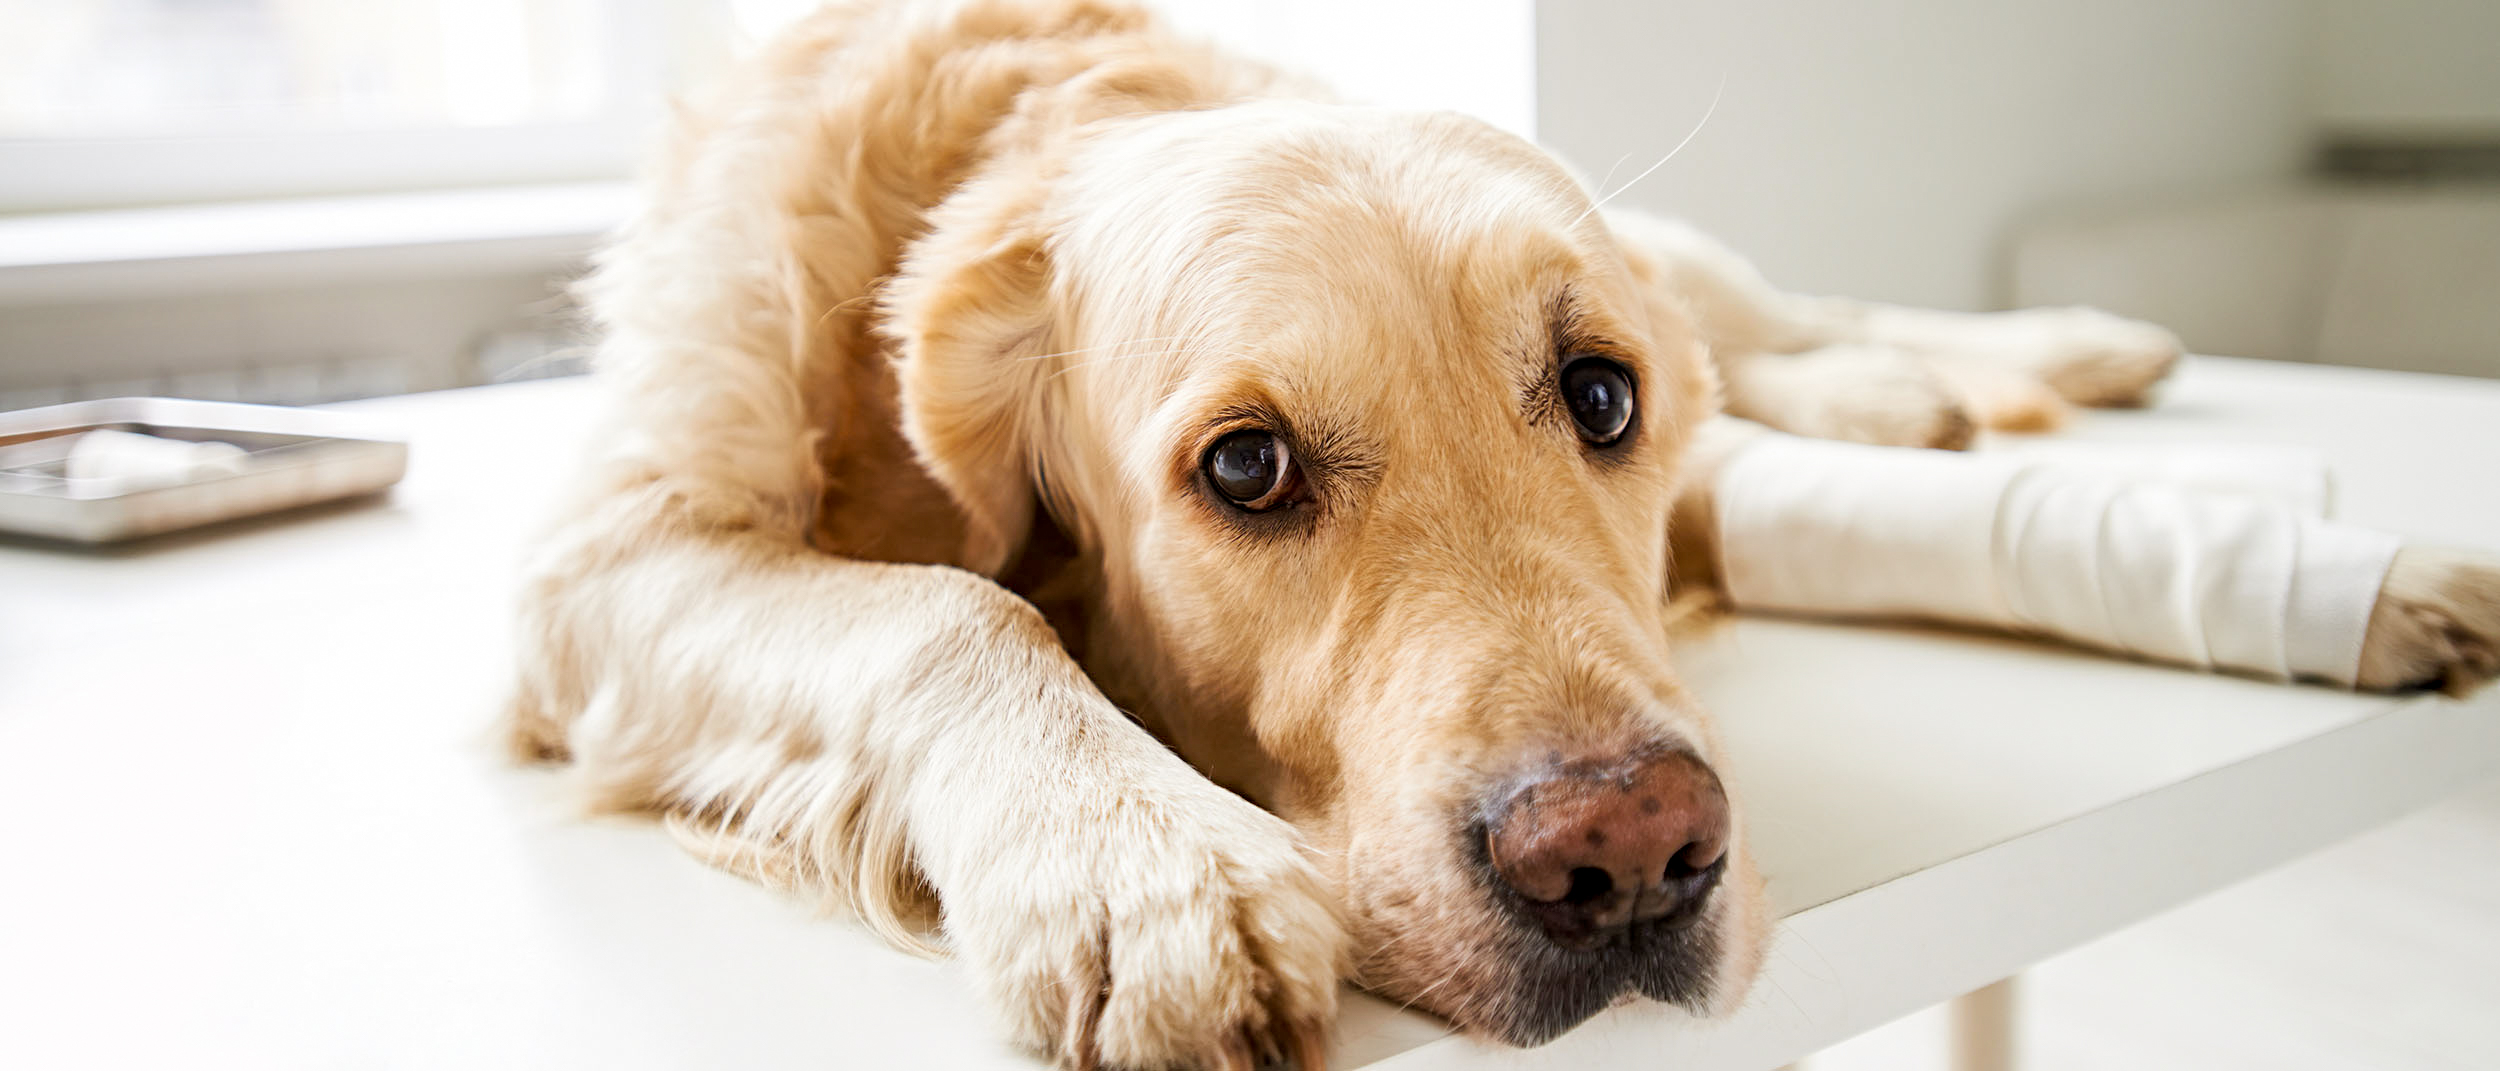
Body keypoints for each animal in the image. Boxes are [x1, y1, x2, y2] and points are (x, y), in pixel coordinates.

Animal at [507, 4, 2500, 1065]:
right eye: (1246, 469)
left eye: (1600, 398)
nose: (1629, 854)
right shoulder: (603, 560)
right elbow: (938, 604)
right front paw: (1137, 866)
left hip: (1698, 269)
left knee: (1780, 316)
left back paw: (2043, 356)